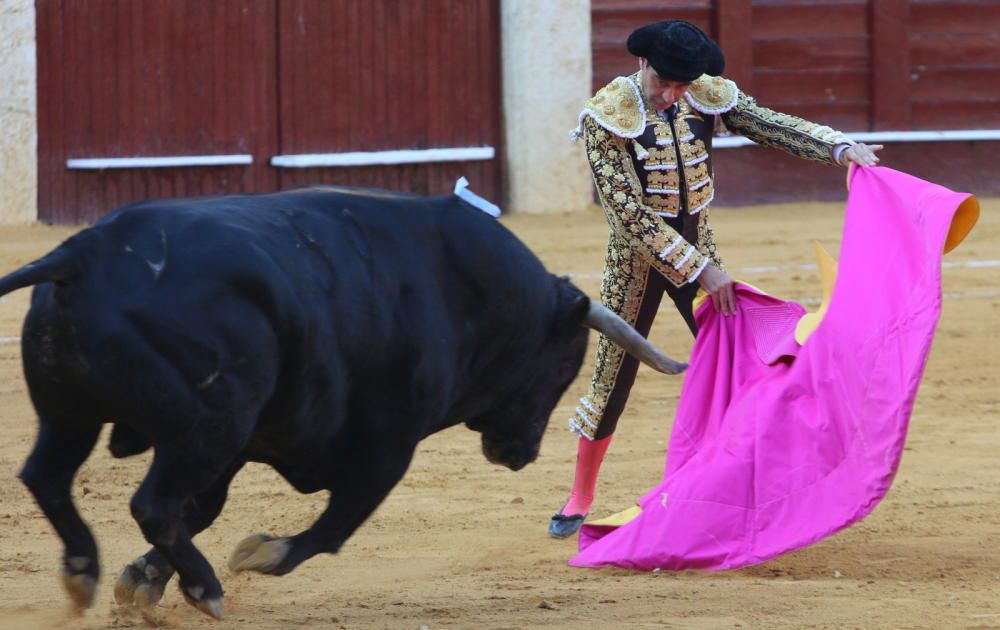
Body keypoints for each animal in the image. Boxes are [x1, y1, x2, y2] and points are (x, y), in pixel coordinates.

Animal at [0, 185, 688, 620]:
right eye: (565, 365)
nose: (519, 453)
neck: (463, 289)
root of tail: (79, 255)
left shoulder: (250, 443)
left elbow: (207, 509)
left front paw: (139, 582)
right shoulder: (386, 445)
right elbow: (336, 523)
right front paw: (259, 553)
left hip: (74, 416)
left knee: (49, 477)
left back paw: (84, 572)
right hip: (206, 426)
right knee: (153, 503)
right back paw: (206, 586)